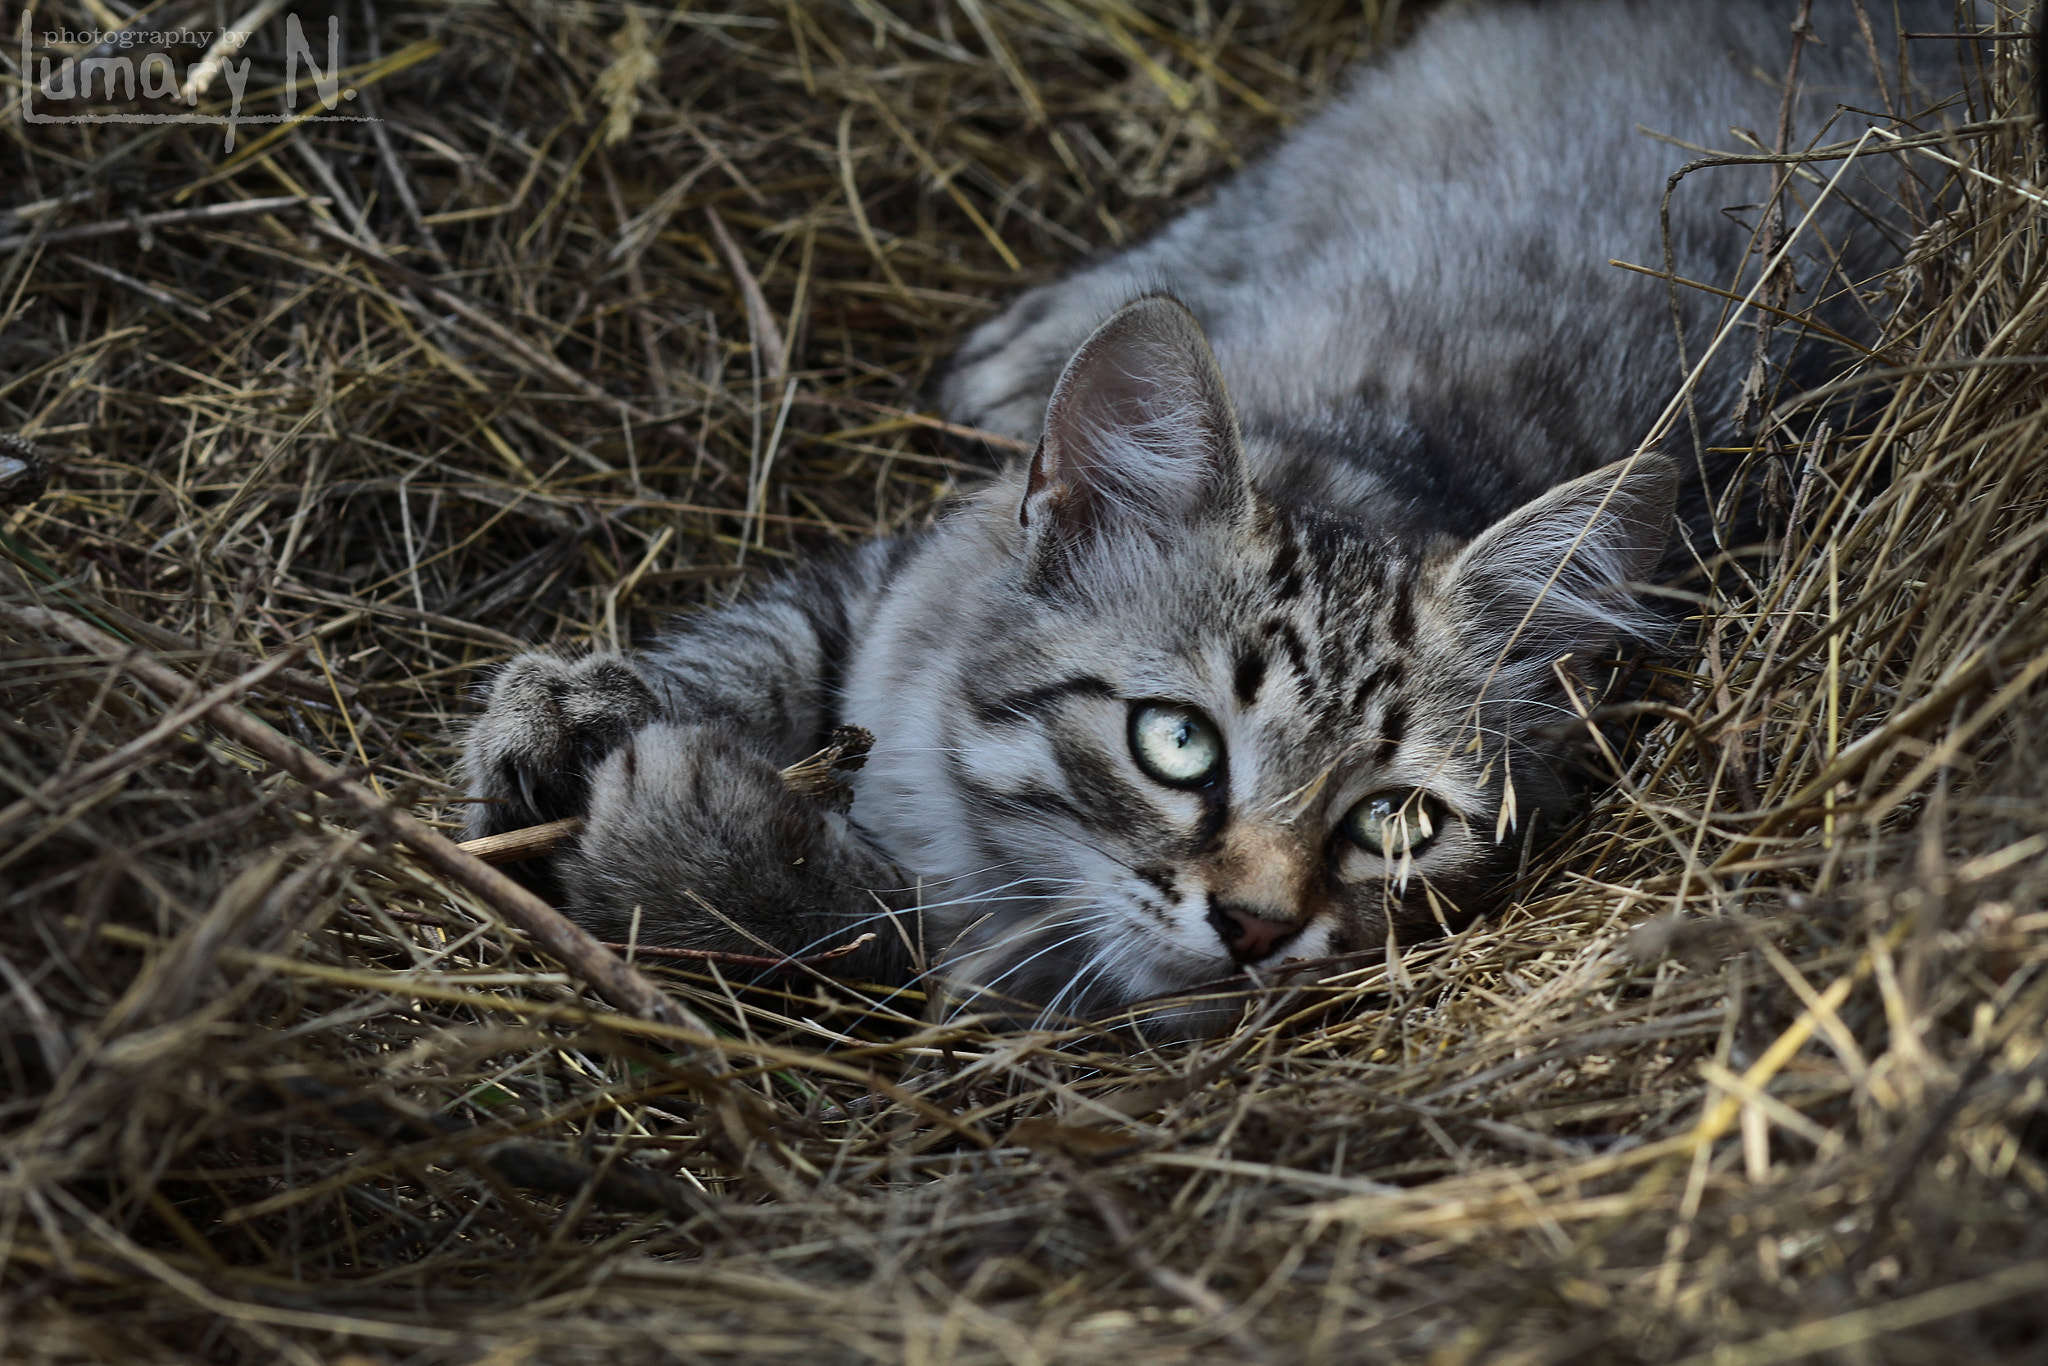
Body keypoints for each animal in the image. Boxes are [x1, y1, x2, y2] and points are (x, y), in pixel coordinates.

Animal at [460, 0, 1966, 1023]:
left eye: (1397, 823)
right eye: (1175, 741)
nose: (1252, 925)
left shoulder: (1030, 992)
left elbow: (886, 937)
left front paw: (700, 846)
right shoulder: (890, 585)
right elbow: (756, 644)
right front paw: (570, 719)